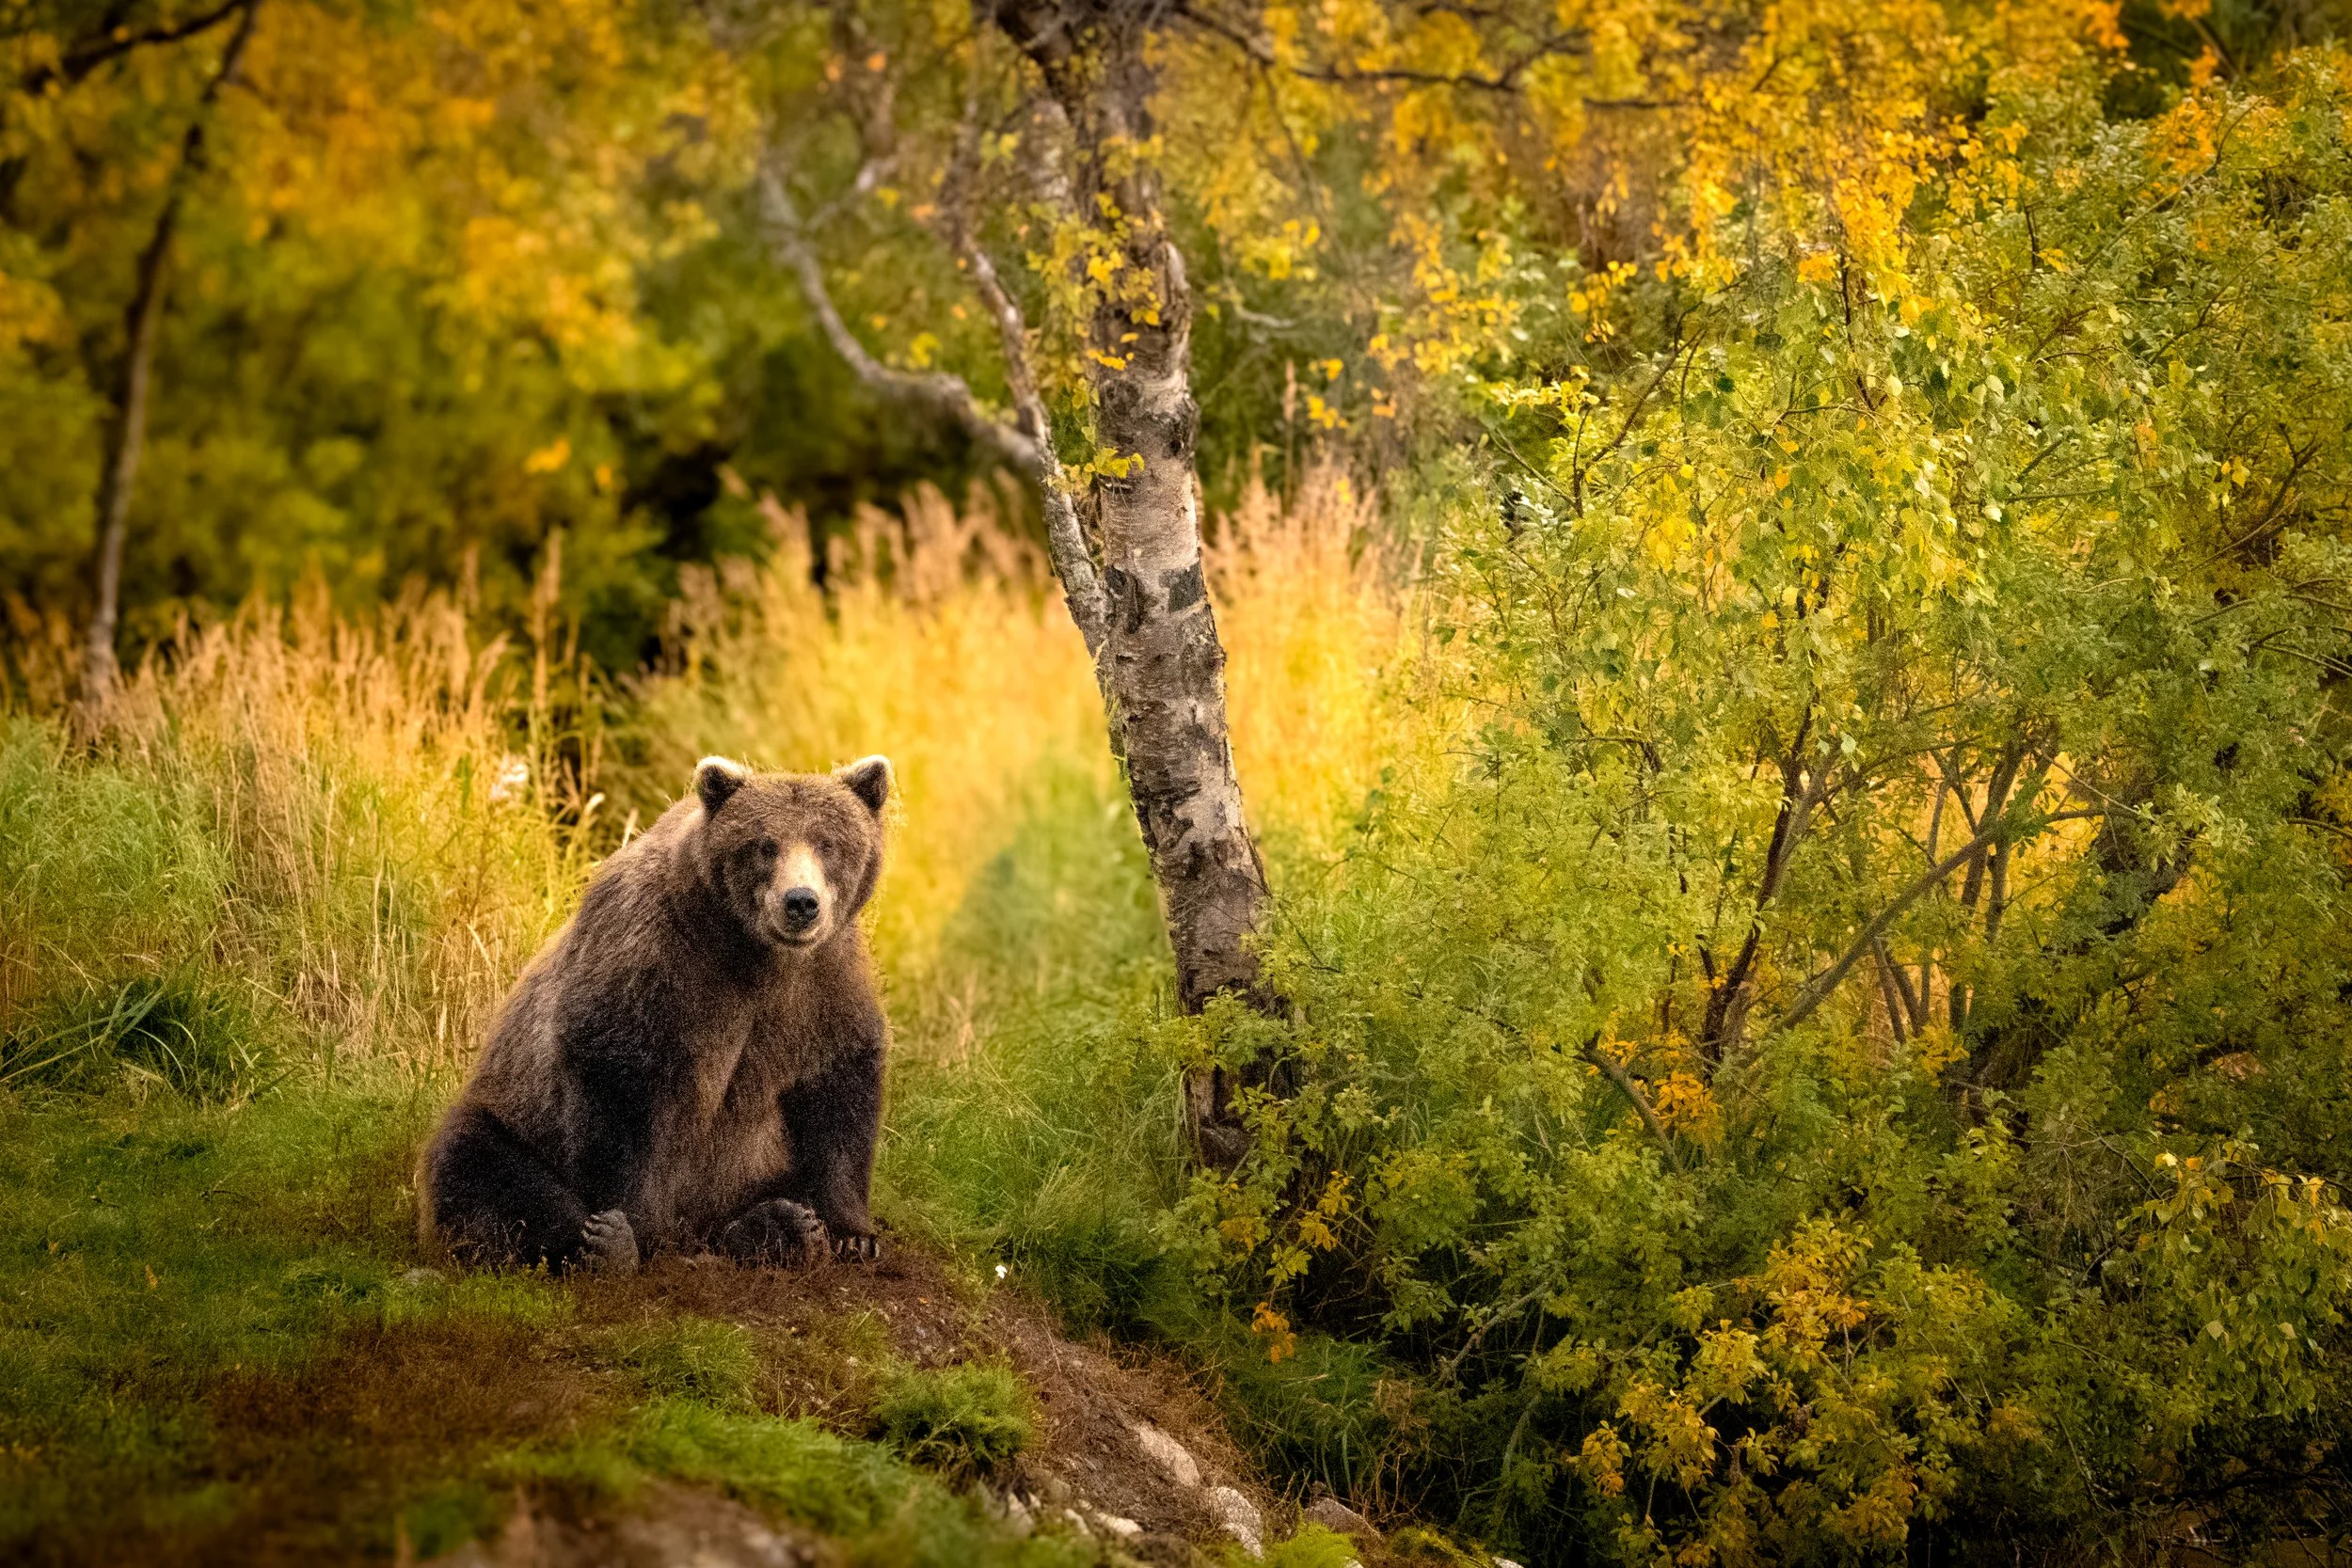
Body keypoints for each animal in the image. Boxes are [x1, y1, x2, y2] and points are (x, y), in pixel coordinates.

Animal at [417, 753, 893, 1274]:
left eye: (828, 843)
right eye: (765, 845)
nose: (801, 902)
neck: (753, 952)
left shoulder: (826, 986)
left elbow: (839, 1095)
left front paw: (851, 1235)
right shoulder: (652, 962)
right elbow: (619, 1095)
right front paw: (623, 1233)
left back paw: (782, 1225)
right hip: (516, 1116)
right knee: (477, 1162)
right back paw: (601, 1241)